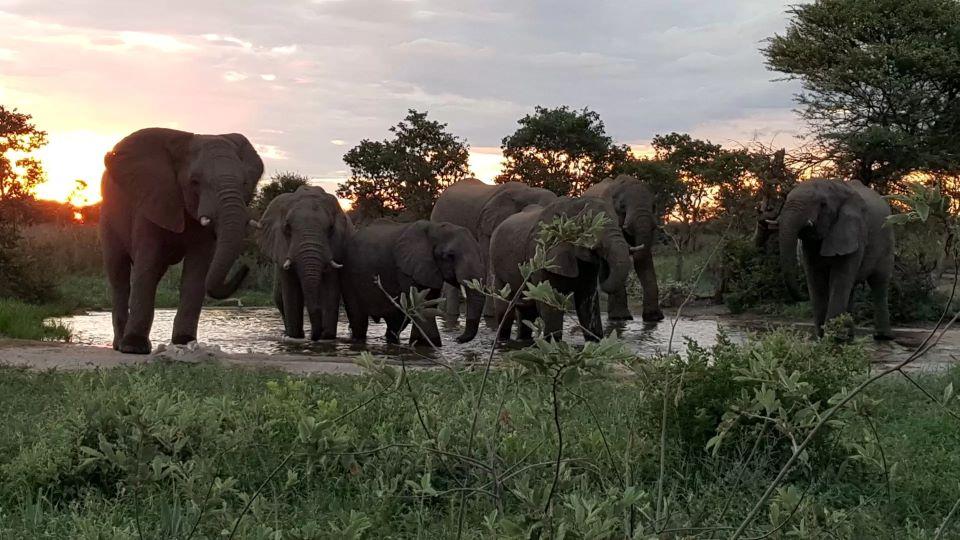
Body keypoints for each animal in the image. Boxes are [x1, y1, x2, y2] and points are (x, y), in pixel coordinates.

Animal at [101, 127, 263, 354]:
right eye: (194, 182)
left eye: (245, 183)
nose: (246, 267)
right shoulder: (151, 199)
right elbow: (147, 265)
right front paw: (134, 347)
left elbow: (197, 270)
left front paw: (185, 342)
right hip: (108, 217)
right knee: (119, 274)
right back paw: (119, 344)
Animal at [256, 186, 352, 341]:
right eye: (287, 228)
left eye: (331, 228)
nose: (315, 335)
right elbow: (291, 290)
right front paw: (295, 337)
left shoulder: (336, 247)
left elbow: (330, 286)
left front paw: (327, 337)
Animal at [341, 220, 486, 346]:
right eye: (449, 256)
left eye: (480, 253)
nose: (457, 339)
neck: (434, 228)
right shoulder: (408, 268)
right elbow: (422, 305)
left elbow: (429, 304)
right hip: (349, 277)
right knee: (358, 319)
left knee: (395, 323)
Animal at [489, 196, 633, 342]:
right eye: (589, 229)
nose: (604, 262)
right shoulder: (541, 253)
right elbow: (549, 301)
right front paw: (553, 342)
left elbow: (587, 302)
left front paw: (595, 341)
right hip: (497, 269)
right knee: (505, 311)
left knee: (527, 312)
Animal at [769, 178, 894, 339]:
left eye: (823, 204)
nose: (803, 295)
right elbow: (816, 278)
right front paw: (822, 338)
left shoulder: (855, 229)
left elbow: (839, 276)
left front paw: (832, 338)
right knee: (852, 288)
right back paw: (849, 336)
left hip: (887, 239)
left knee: (879, 282)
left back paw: (882, 337)